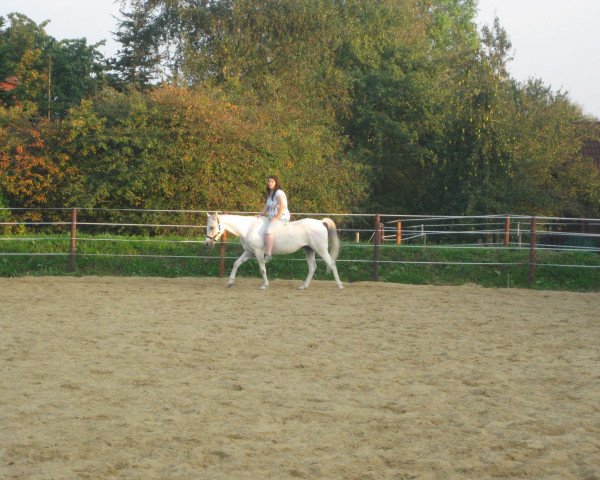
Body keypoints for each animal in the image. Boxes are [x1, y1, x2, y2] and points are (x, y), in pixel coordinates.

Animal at [205, 213, 342, 288]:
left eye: (211, 227)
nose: (207, 244)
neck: (249, 228)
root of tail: (320, 222)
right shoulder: (249, 252)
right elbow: (236, 263)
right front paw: (230, 283)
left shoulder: (258, 252)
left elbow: (262, 269)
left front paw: (265, 285)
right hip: (309, 250)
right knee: (312, 267)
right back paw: (304, 286)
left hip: (321, 249)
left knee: (331, 263)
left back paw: (340, 285)